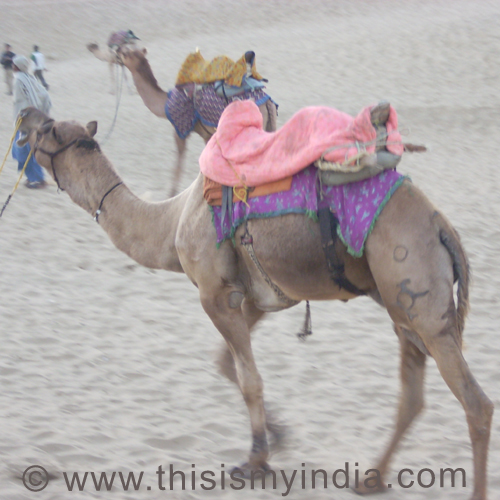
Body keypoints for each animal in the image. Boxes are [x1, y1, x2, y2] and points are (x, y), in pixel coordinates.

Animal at [18, 106, 492, 500]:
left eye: (45, 129)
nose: (24, 117)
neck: (171, 223)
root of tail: (440, 224)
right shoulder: (257, 298)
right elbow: (227, 364)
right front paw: (277, 437)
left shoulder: (215, 293)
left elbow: (249, 379)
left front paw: (254, 461)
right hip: (402, 306)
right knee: (412, 396)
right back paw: (370, 479)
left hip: (419, 294)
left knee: (477, 404)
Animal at [118, 47, 280, 198]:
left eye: (127, 53)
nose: (117, 51)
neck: (164, 103)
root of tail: (267, 101)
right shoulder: (206, 134)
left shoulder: (180, 129)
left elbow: (180, 161)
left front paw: (172, 195)